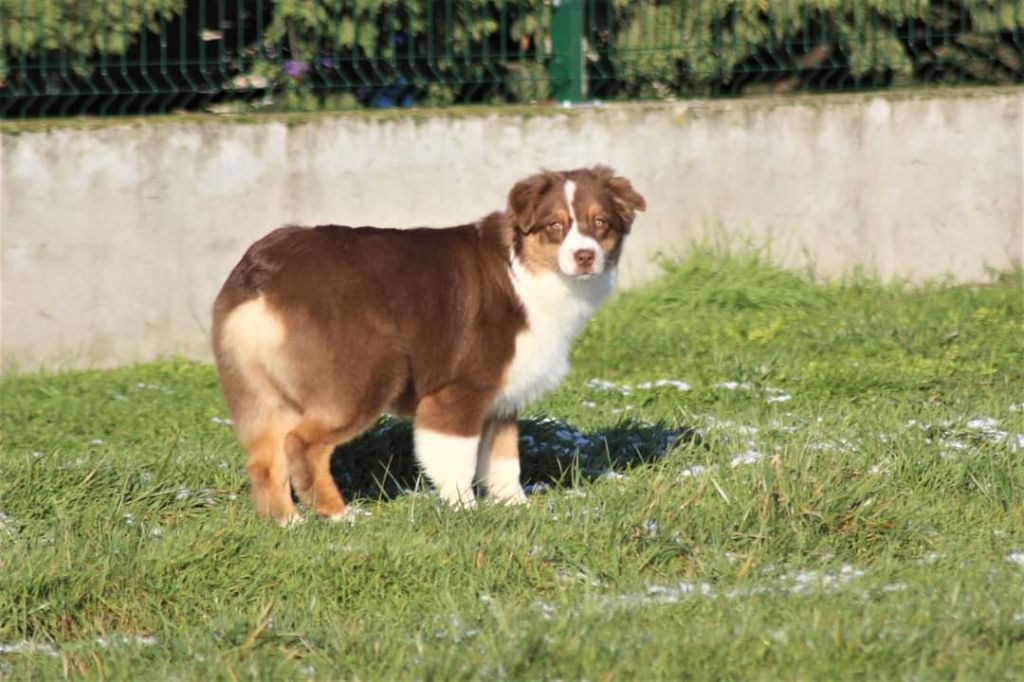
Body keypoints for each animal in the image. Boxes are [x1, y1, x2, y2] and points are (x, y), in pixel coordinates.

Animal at [210, 164, 643, 520]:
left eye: (600, 223)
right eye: (555, 225)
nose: (585, 256)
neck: (526, 270)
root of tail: (263, 271)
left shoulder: (503, 396)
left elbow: (505, 460)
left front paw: (516, 507)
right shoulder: (460, 390)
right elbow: (458, 458)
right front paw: (464, 510)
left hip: (260, 391)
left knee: (264, 460)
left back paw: (288, 524)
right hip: (367, 374)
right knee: (301, 444)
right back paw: (337, 515)